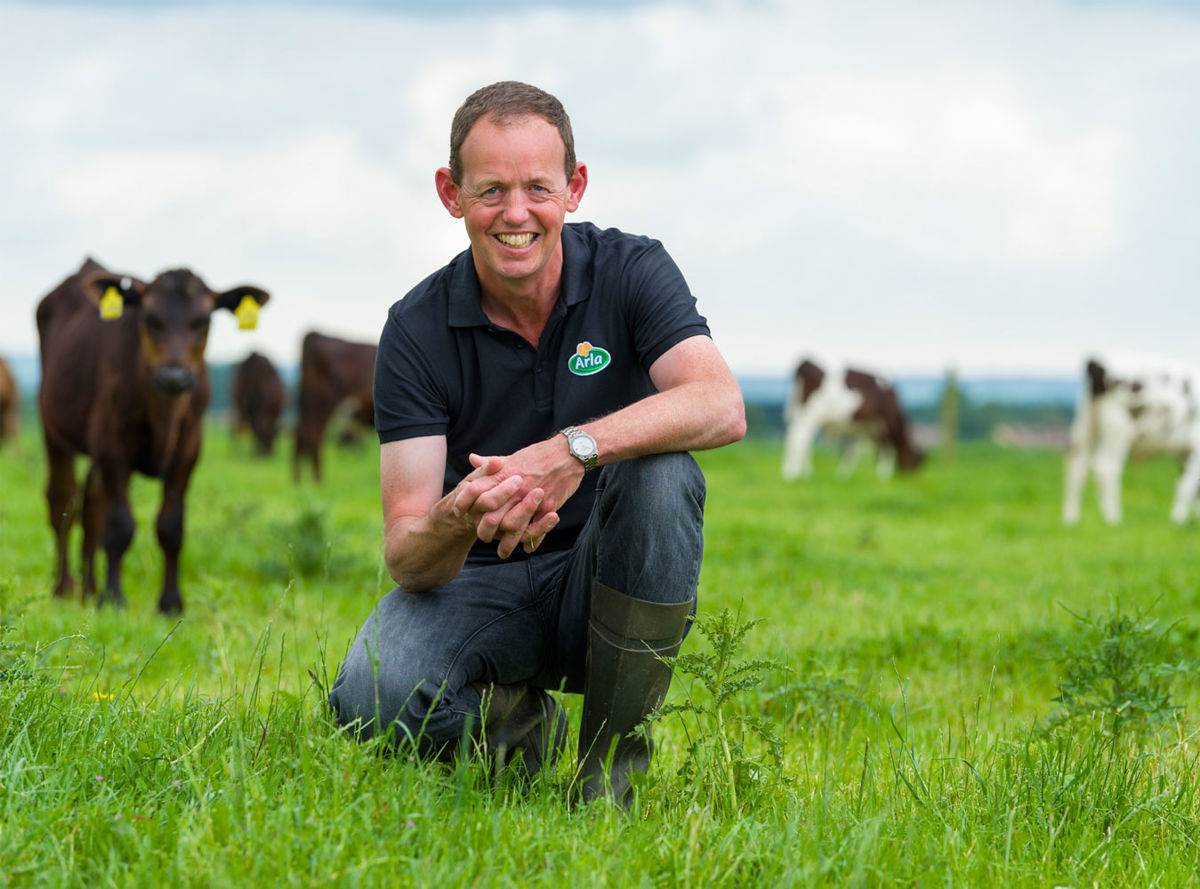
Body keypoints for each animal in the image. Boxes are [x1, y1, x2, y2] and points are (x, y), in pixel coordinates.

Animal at [36, 260, 270, 614]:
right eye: (149, 318)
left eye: (203, 321)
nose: (173, 375)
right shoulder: (112, 445)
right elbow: (120, 524)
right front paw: (113, 598)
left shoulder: (188, 449)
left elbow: (170, 526)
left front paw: (170, 602)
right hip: (54, 430)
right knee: (63, 502)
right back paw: (65, 587)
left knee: (92, 508)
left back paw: (89, 589)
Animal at [291, 331, 374, 482]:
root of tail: (314, 335)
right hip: (324, 401)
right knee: (314, 435)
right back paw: (318, 480)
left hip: (310, 404)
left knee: (302, 432)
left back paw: (299, 480)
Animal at [782, 355, 921, 482]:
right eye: (914, 461)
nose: (911, 477)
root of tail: (806, 362)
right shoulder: (883, 425)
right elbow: (887, 449)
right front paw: (883, 475)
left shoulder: (860, 428)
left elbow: (852, 450)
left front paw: (843, 475)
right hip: (810, 413)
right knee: (800, 439)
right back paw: (793, 473)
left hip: (799, 412)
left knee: (796, 438)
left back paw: (802, 472)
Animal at [1060, 352, 1200, 523]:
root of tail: (1096, 360)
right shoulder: (1195, 448)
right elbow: (1188, 485)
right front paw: (1177, 519)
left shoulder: (1185, 452)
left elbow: (1190, 485)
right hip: (1118, 429)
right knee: (1104, 468)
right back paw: (1113, 517)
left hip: (1084, 427)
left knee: (1076, 468)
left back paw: (1071, 519)